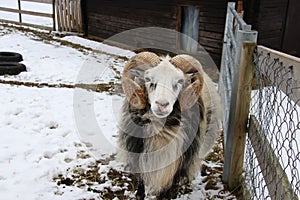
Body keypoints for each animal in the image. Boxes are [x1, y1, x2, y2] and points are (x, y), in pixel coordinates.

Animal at [118, 51, 221, 198]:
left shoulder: (176, 169)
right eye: (148, 79)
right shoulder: (138, 158)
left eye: (179, 82)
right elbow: (140, 190)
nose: (162, 105)